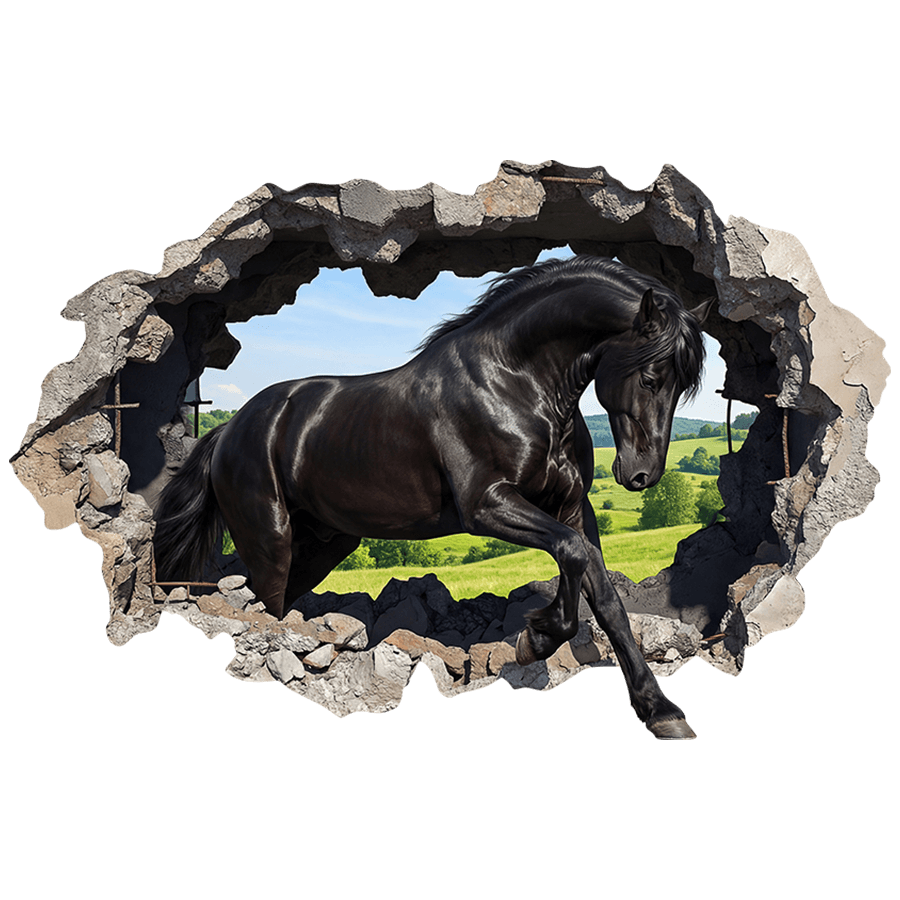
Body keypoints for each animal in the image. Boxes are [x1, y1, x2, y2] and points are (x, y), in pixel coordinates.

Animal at [154, 255, 712, 739]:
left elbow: (606, 597)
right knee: (262, 604)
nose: (641, 475)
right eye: (651, 377)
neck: (515, 382)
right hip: (270, 540)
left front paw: (661, 711)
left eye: (681, 387)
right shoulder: (487, 505)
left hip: (321, 545)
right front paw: (537, 638)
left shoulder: (574, 509)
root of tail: (228, 431)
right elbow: (570, 555)